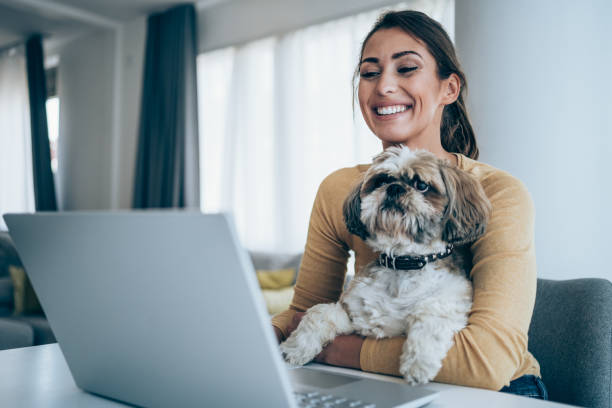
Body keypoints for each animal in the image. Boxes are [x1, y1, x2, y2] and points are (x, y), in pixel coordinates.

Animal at [280, 147, 490, 386]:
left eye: (422, 185)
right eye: (381, 180)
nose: (394, 187)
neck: (404, 263)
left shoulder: (450, 300)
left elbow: (429, 316)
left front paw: (419, 364)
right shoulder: (355, 316)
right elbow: (319, 313)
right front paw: (295, 348)